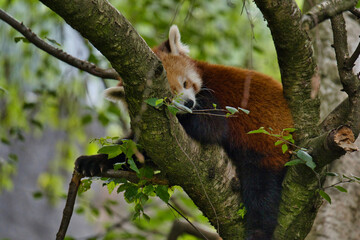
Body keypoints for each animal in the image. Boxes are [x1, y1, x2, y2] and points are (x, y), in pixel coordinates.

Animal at [93, 26, 292, 240]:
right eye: (169, 96)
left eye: (185, 84)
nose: (188, 103)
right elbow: (139, 152)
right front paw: (95, 161)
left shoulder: (214, 100)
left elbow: (212, 129)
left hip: (270, 149)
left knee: (261, 195)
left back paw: (258, 231)